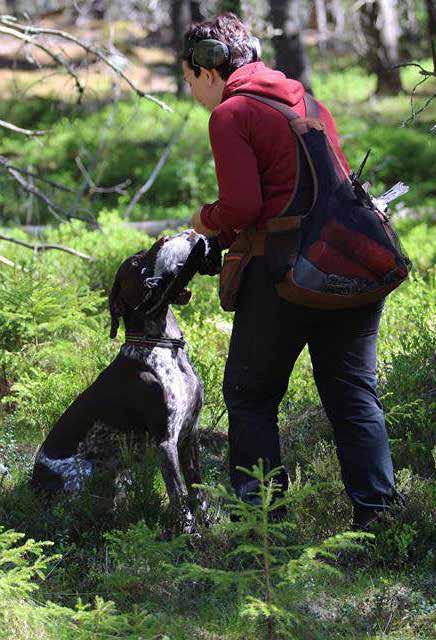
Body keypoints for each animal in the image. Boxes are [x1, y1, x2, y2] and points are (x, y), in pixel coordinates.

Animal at [31, 230, 221, 528]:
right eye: (135, 264)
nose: (164, 238)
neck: (160, 345)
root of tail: (33, 482)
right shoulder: (166, 441)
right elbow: (179, 496)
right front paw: (189, 533)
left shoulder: (190, 435)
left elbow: (197, 490)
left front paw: (208, 524)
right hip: (83, 474)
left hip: (122, 474)